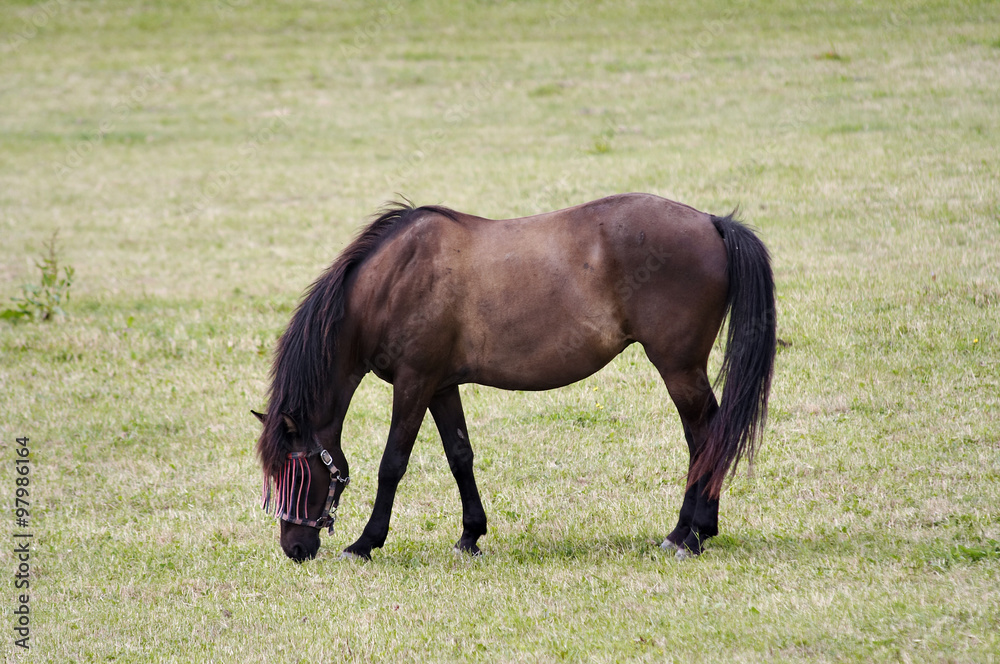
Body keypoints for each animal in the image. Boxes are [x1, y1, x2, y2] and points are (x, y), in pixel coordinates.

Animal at [253, 193, 776, 562]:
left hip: (679, 369)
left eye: (295, 472)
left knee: (706, 437)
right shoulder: (441, 385)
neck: (393, 281)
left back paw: (692, 535)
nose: (294, 549)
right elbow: (460, 456)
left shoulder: (413, 382)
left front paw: (365, 543)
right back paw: (687, 531)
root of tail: (712, 222)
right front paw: (470, 536)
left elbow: (392, 464)